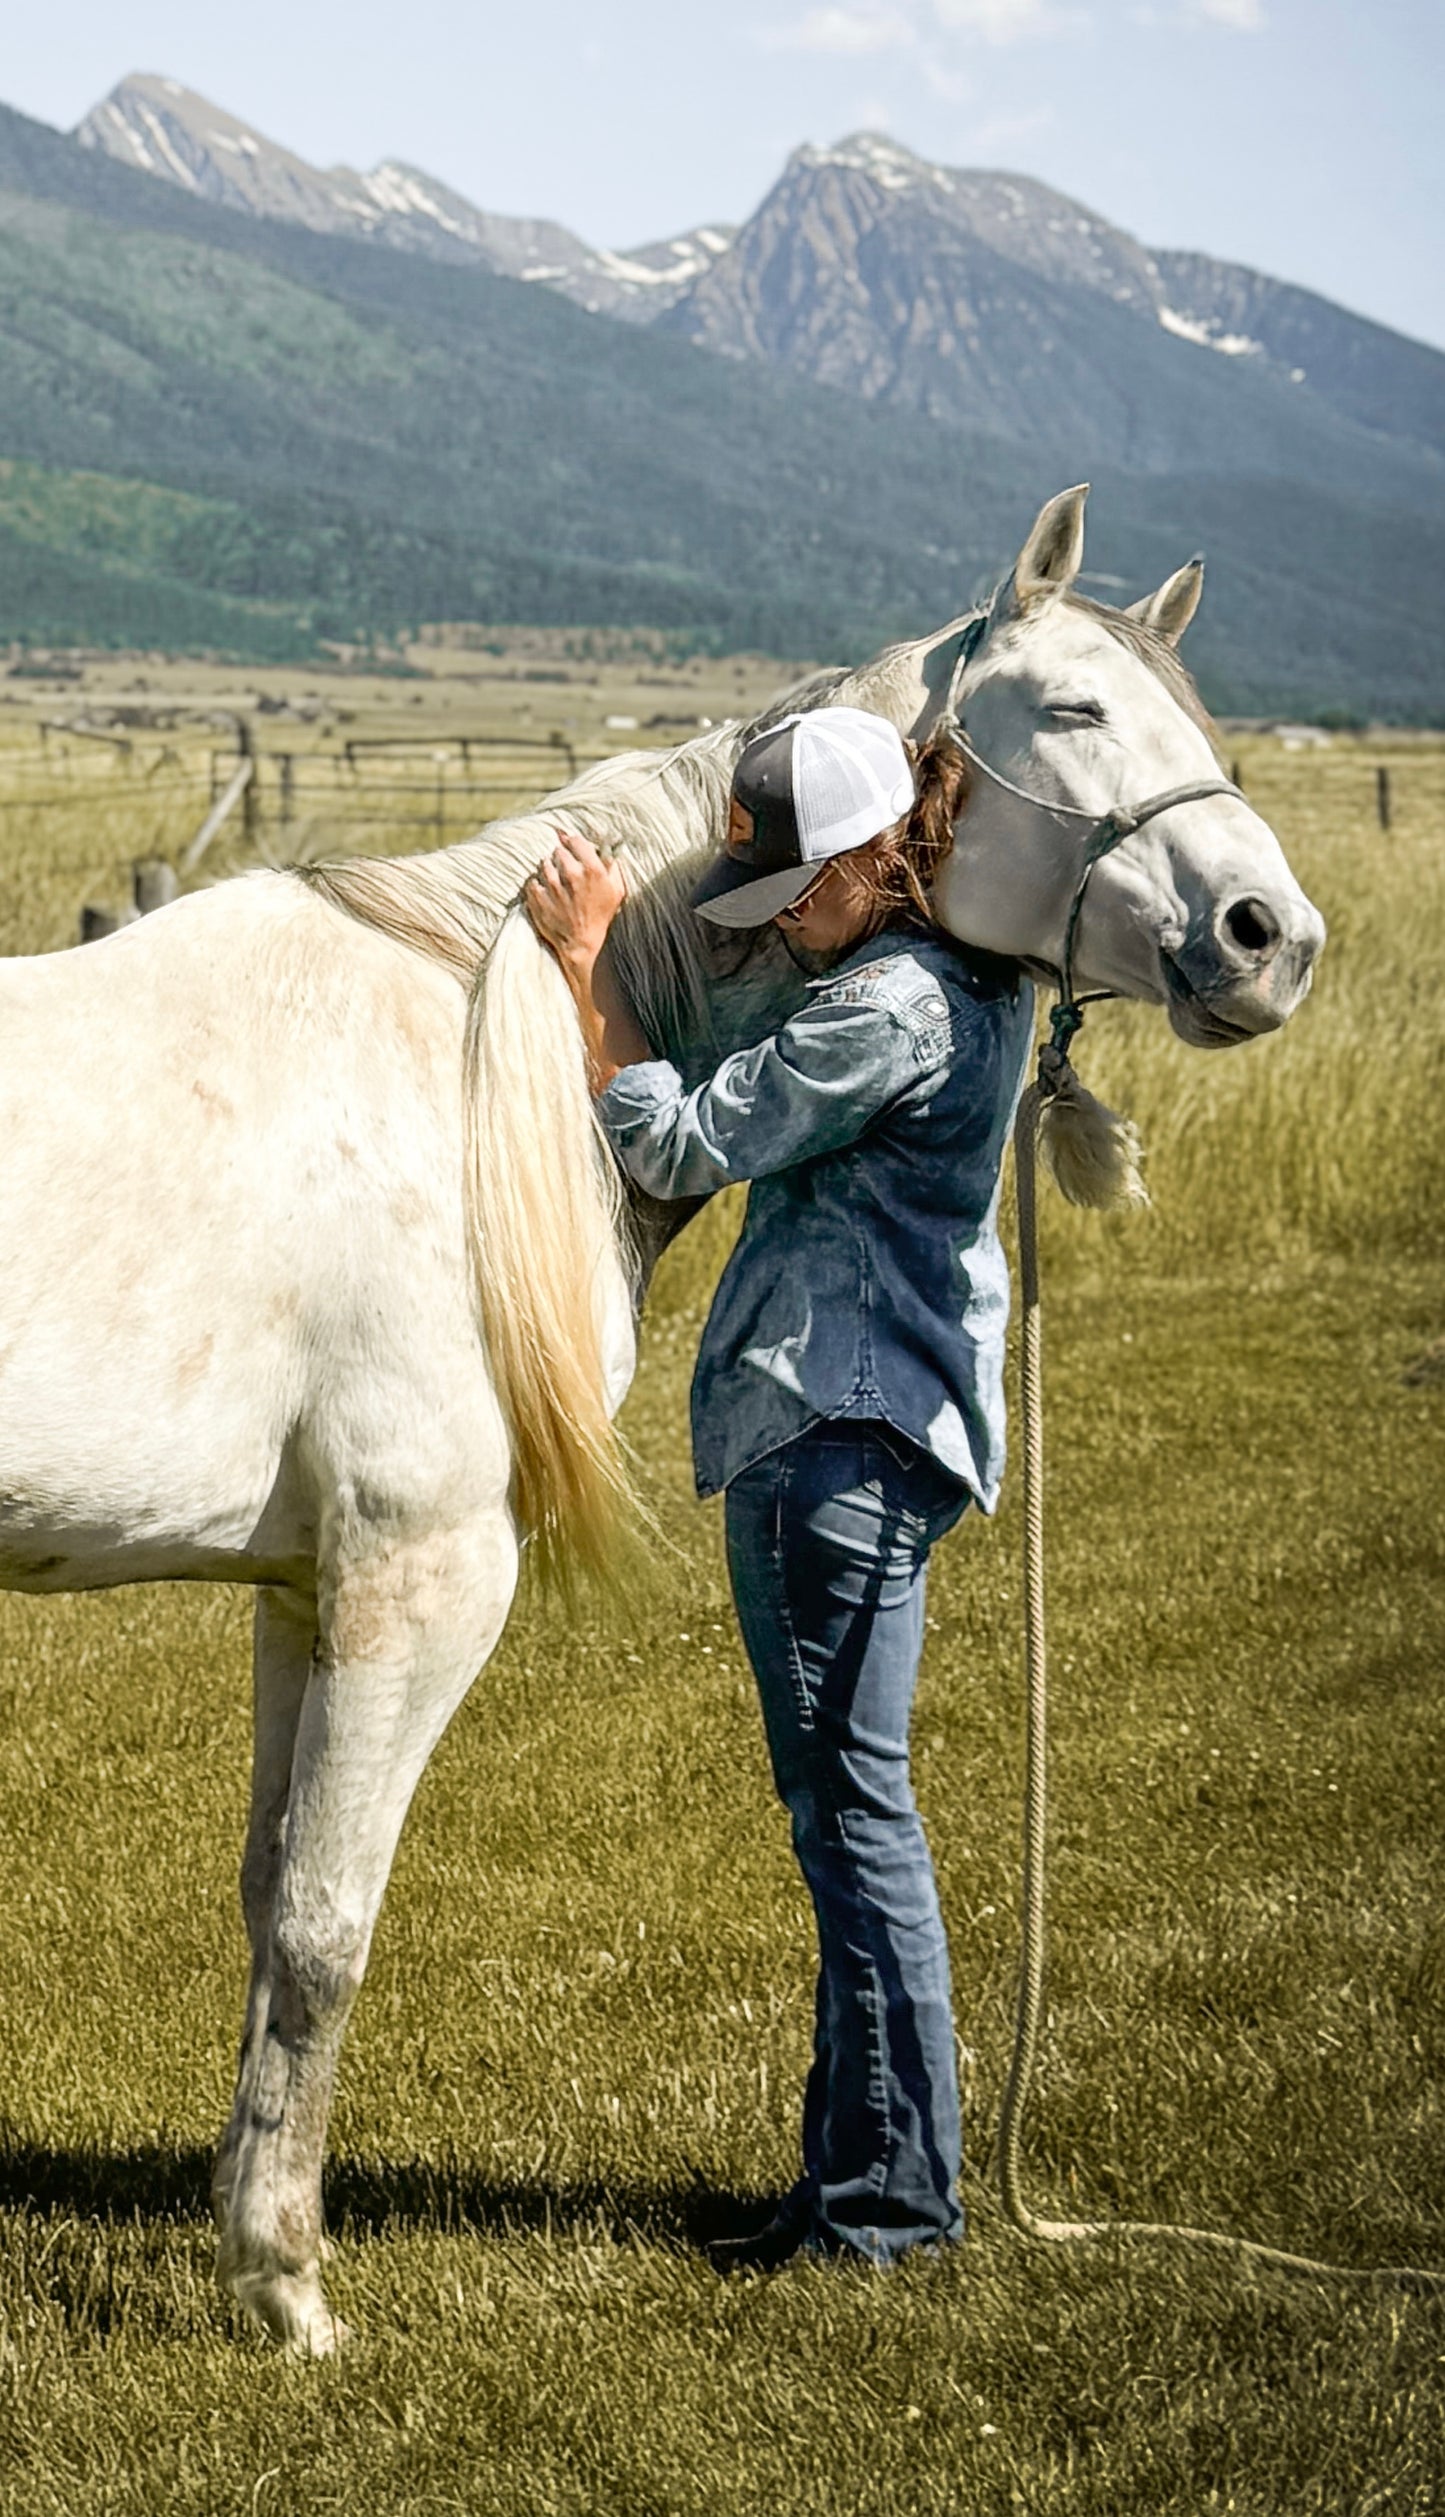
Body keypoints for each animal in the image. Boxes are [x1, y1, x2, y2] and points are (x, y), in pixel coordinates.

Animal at [0, 485, 1324, 2352]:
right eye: (1072, 709)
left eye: (1196, 719)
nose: (1272, 939)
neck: (479, 1060)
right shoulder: (419, 1579)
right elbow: (329, 1924)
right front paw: (288, 2288)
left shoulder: (303, 1591)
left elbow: (270, 1897)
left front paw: (250, 2241)